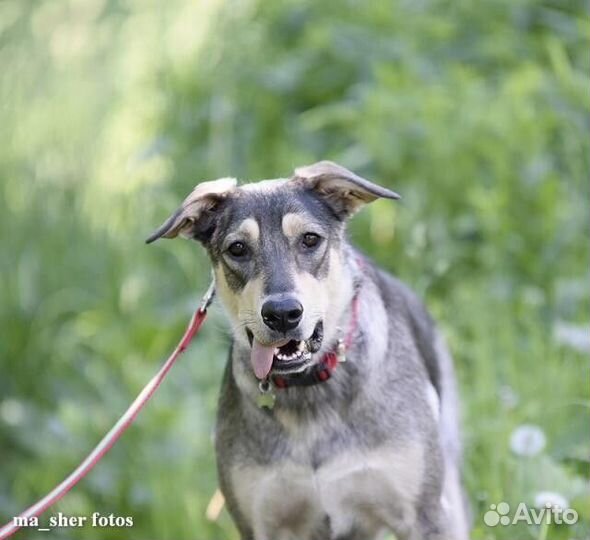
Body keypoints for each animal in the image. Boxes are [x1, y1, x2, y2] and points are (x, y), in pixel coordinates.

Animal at [148, 161, 472, 540]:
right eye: (238, 249)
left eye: (310, 239)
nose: (282, 313)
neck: (310, 389)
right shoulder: (260, 522)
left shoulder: (423, 516)